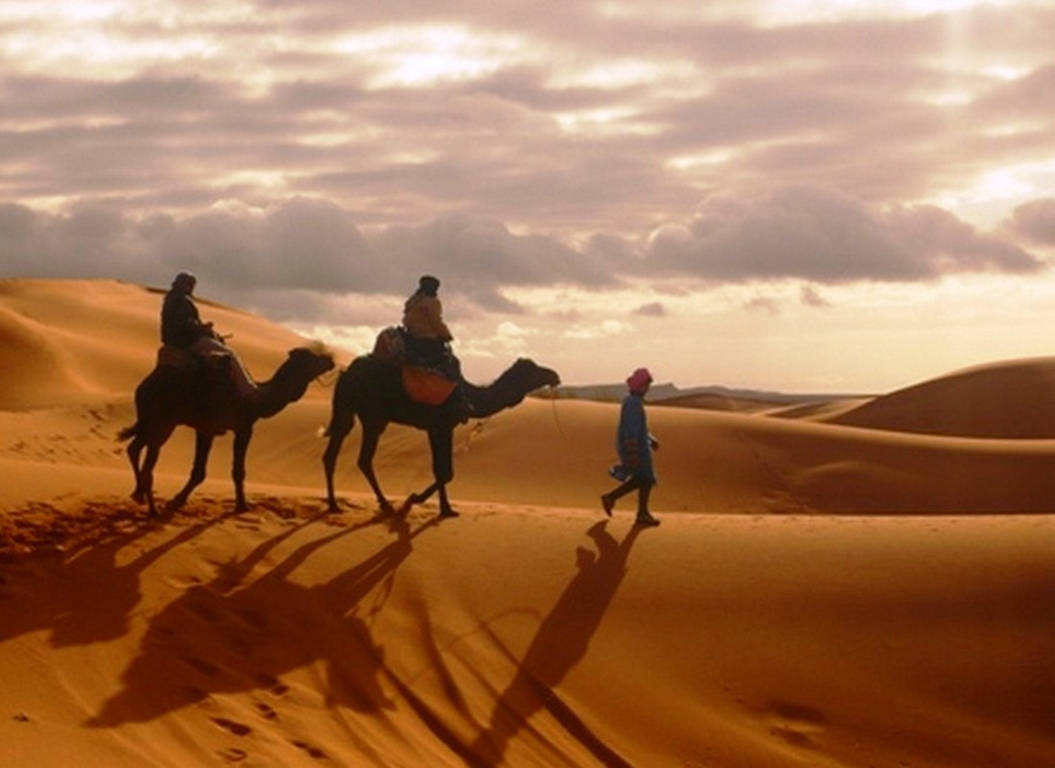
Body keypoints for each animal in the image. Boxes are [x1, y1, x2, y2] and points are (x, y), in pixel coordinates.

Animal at [119, 346, 333, 516]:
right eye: (313, 358)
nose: (330, 360)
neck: (256, 399)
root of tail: (145, 385)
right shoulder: (242, 428)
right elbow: (236, 471)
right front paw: (242, 506)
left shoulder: (207, 430)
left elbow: (199, 471)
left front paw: (178, 499)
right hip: (162, 423)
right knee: (147, 462)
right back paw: (152, 509)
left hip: (150, 422)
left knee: (134, 448)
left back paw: (138, 495)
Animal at [322, 356, 561, 519]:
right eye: (533, 370)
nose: (554, 375)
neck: (470, 395)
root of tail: (345, 373)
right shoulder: (439, 426)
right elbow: (444, 471)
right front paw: (421, 500)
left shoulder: (443, 427)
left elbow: (446, 471)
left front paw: (442, 506)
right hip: (372, 415)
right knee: (360, 457)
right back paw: (378, 504)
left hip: (355, 412)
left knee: (339, 455)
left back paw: (338, 504)